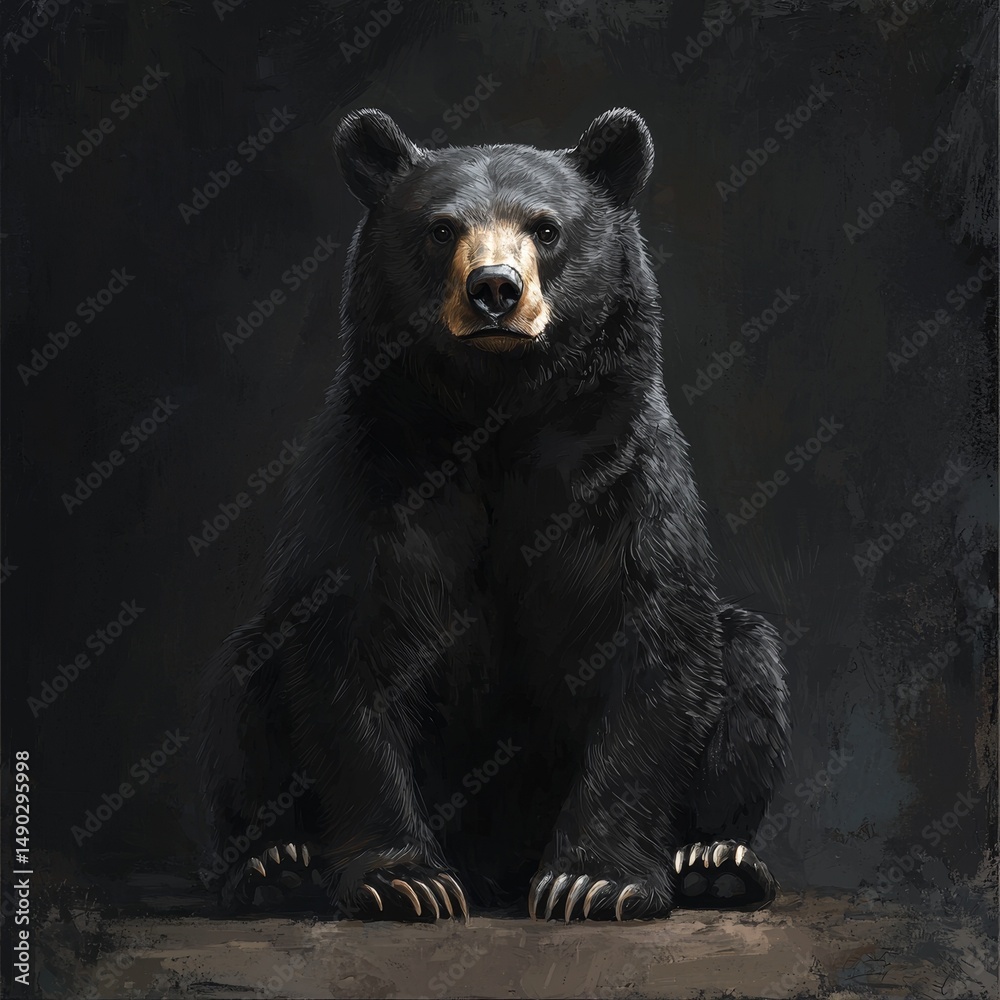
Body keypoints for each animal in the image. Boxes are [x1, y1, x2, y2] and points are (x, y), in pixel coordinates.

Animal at [197, 107, 790, 923]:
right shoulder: (372, 479)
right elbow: (346, 653)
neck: (496, 414)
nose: (495, 290)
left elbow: (652, 645)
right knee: (243, 686)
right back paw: (276, 865)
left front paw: (592, 880)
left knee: (748, 664)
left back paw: (717, 861)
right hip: (255, 669)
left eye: (546, 228)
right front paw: (404, 879)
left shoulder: (622, 482)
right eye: (441, 228)